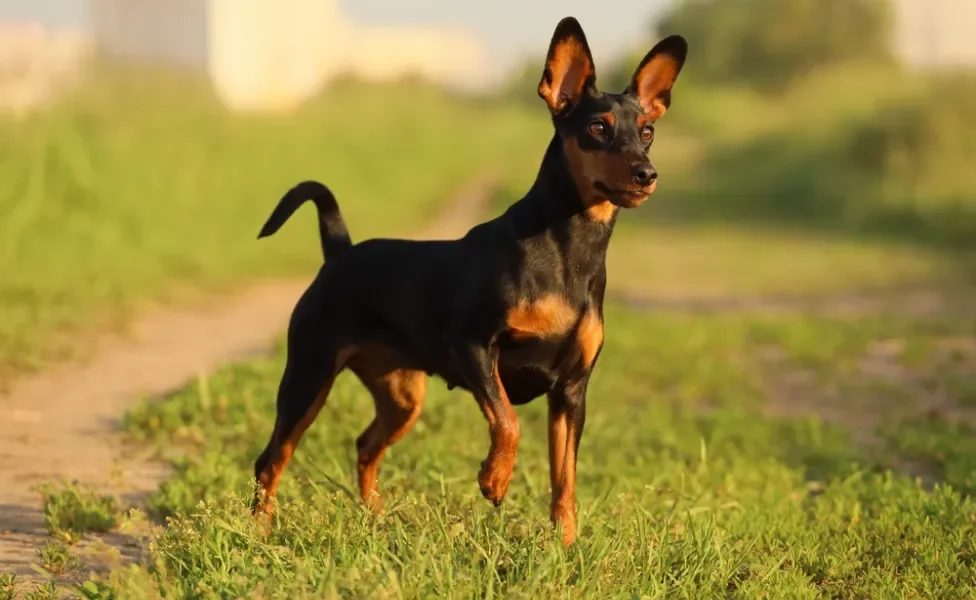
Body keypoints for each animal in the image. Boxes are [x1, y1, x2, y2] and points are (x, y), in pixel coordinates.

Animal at [252, 16, 688, 548]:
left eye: (648, 132)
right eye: (597, 128)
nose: (647, 173)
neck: (570, 251)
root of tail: (339, 251)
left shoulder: (572, 393)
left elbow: (564, 480)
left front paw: (565, 545)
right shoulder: (473, 346)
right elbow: (508, 419)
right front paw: (494, 479)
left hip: (402, 397)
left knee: (365, 444)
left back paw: (375, 518)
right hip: (309, 376)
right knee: (271, 459)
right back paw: (259, 534)